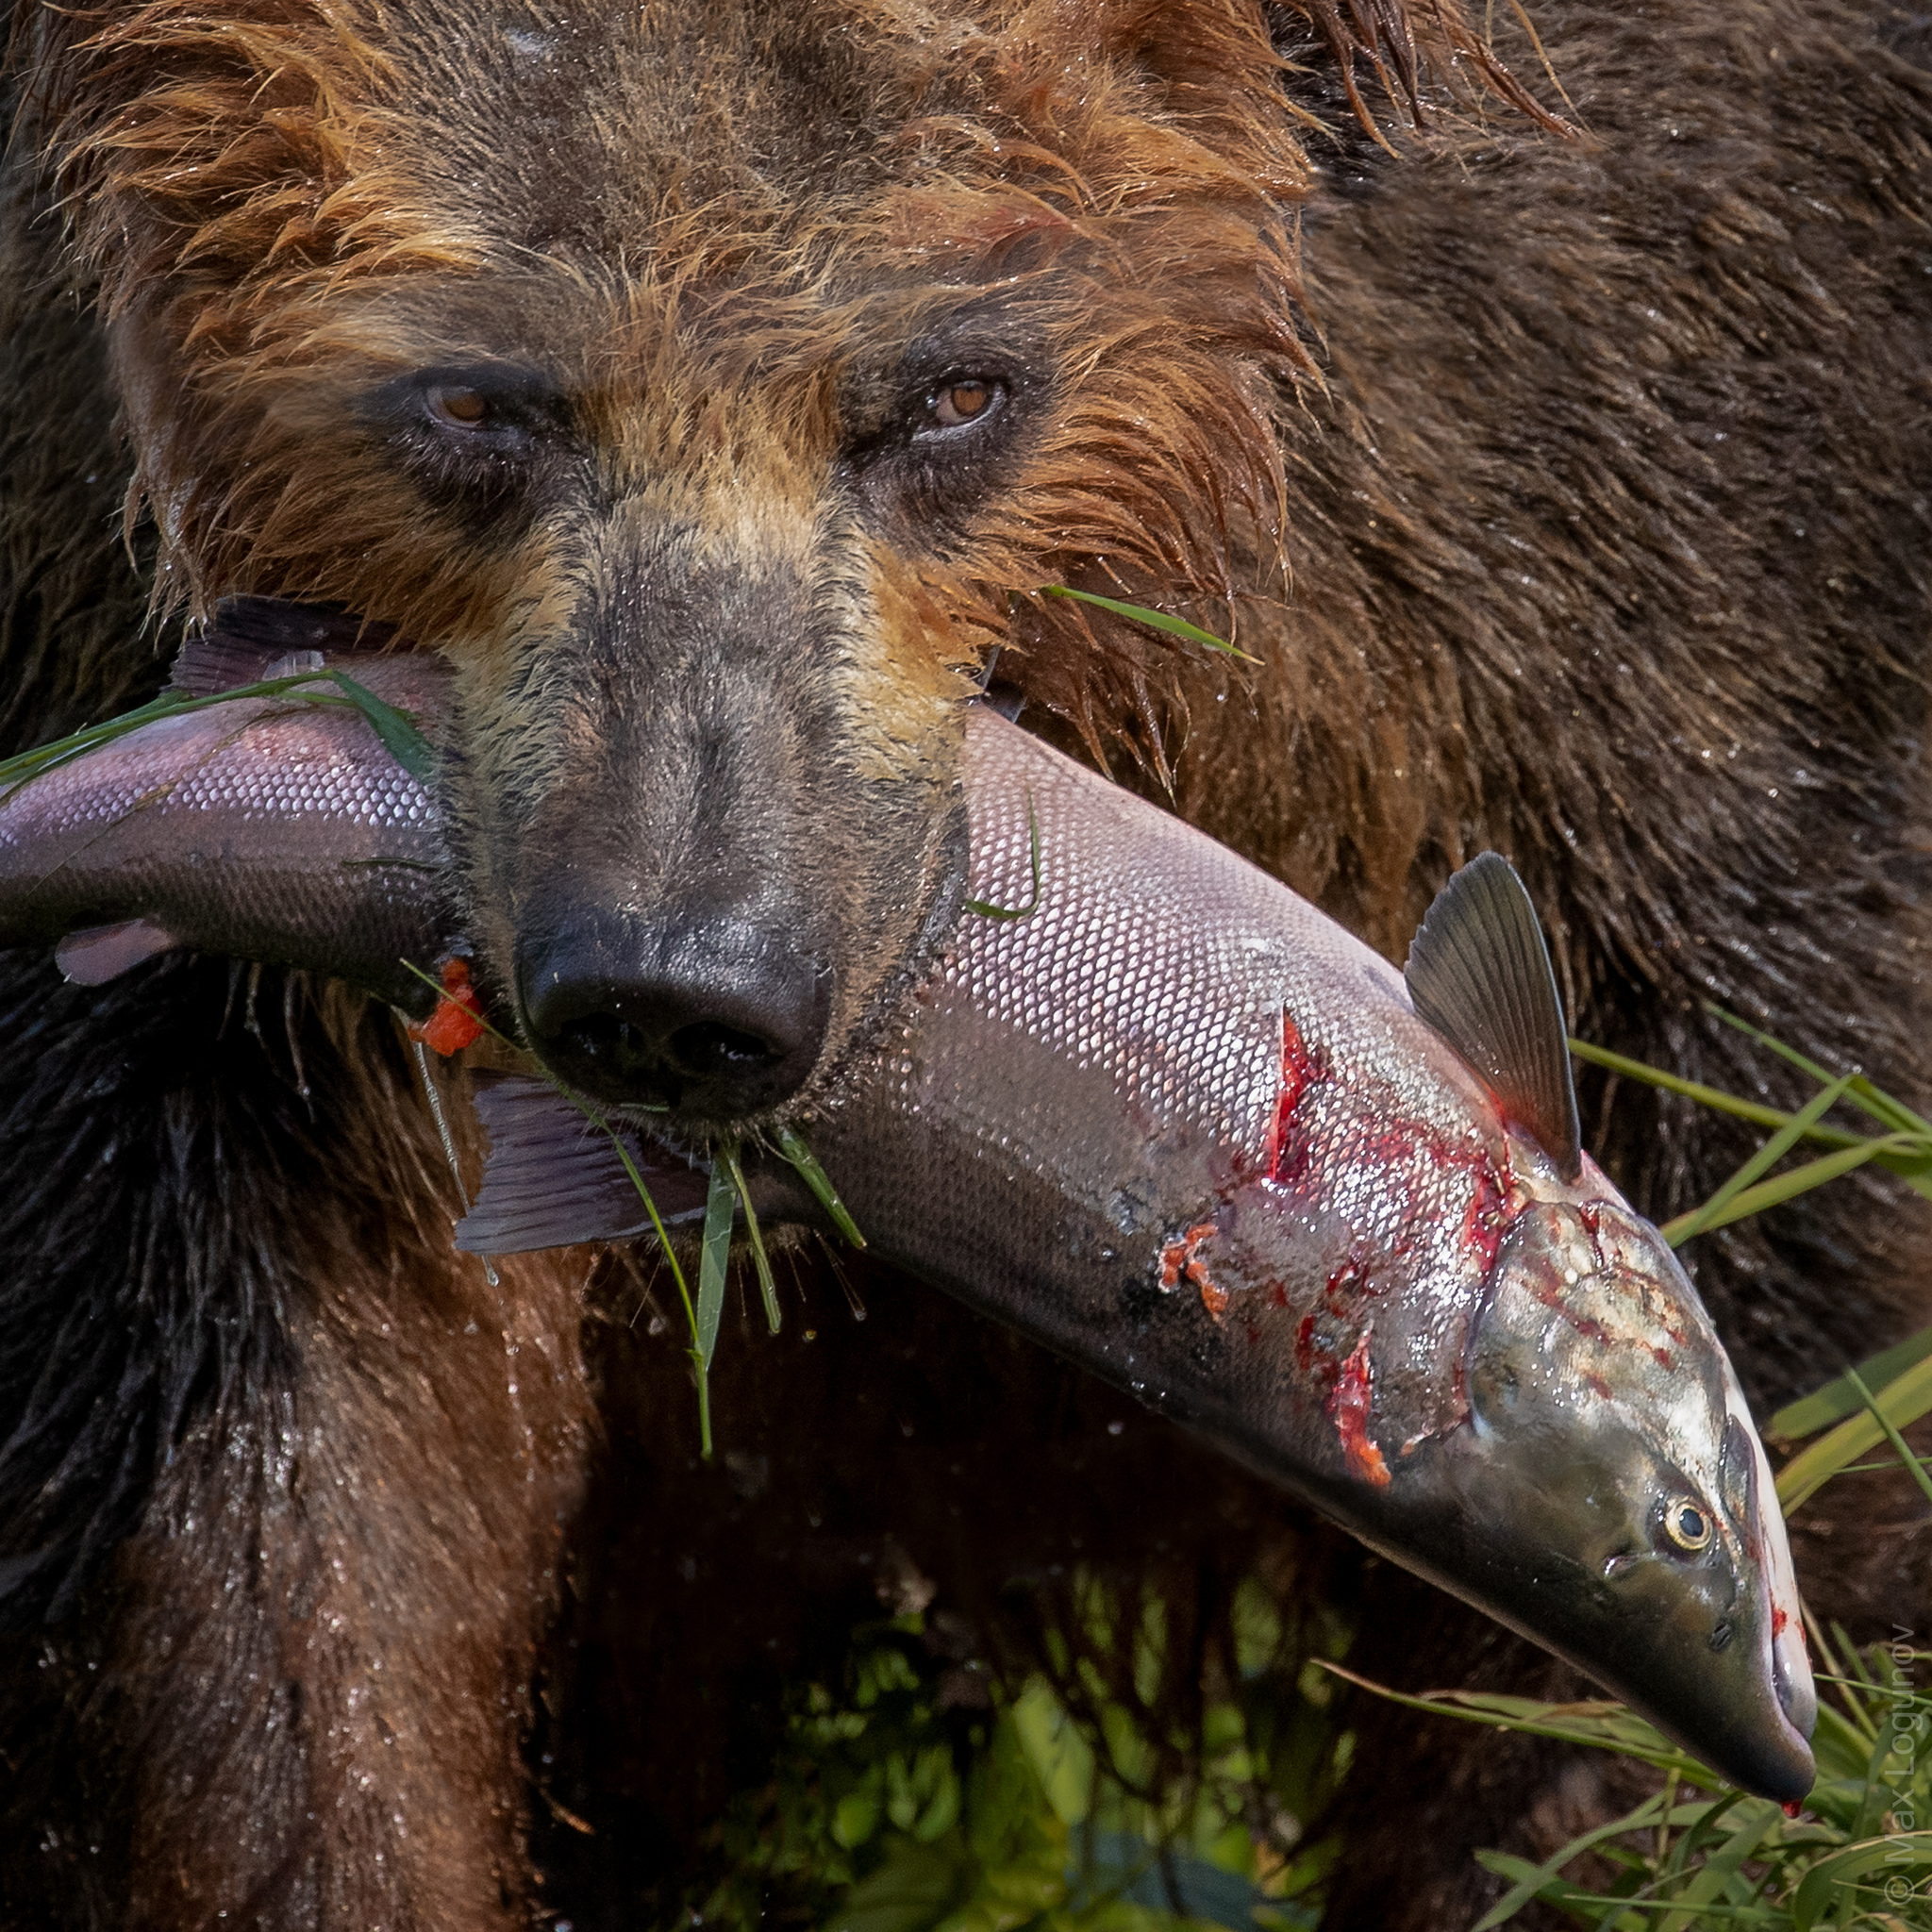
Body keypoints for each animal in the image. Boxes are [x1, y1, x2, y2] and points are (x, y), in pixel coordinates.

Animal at [0, 0, 1924, 1924]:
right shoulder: (113, 629)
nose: (680, 983)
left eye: (954, 392)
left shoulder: (1651, 514)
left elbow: (1792, 1176)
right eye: (473, 400)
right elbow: (253, 1498)